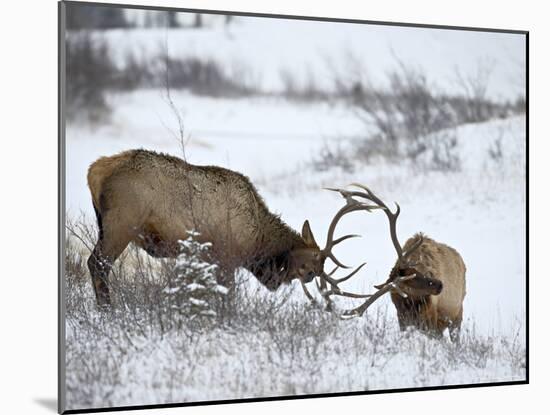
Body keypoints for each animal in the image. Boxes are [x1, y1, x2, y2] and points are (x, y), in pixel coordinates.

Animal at [85, 150, 376, 306]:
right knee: (97, 263)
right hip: (121, 224)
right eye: (313, 266)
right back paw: (108, 310)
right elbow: (229, 296)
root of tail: (95, 170)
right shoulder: (226, 257)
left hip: (105, 224)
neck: (257, 238)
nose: (307, 277)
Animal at [312, 185, 468, 344]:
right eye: (409, 283)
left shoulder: (432, 323)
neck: (411, 308)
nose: (440, 285)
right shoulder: (404, 321)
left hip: (457, 316)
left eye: (417, 272)